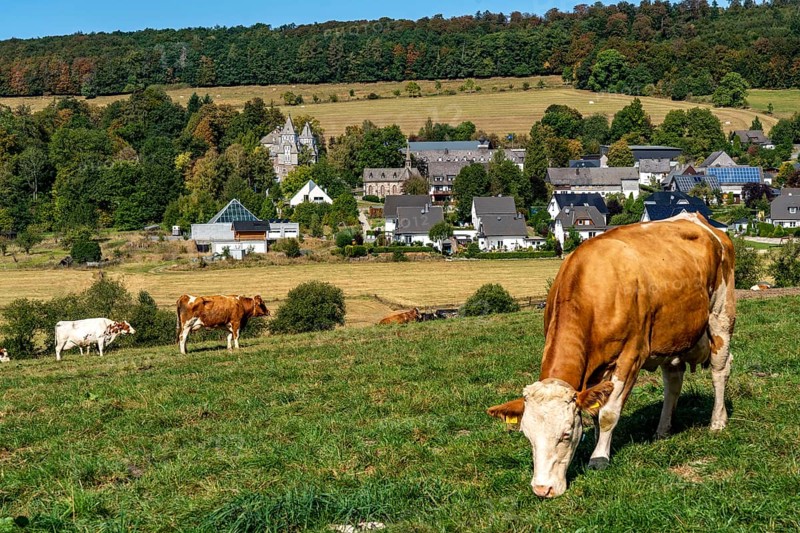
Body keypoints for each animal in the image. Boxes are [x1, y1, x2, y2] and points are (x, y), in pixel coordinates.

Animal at [487, 213, 735, 498]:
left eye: (566, 434)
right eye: (527, 435)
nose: (542, 489)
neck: (592, 289)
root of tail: (697, 218)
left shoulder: (631, 356)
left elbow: (607, 414)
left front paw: (599, 458)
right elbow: (595, 412)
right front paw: (597, 445)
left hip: (721, 316)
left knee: (720, 370)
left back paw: (717, 422)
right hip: (671, 335)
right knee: (673, 381)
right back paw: (663, 430)